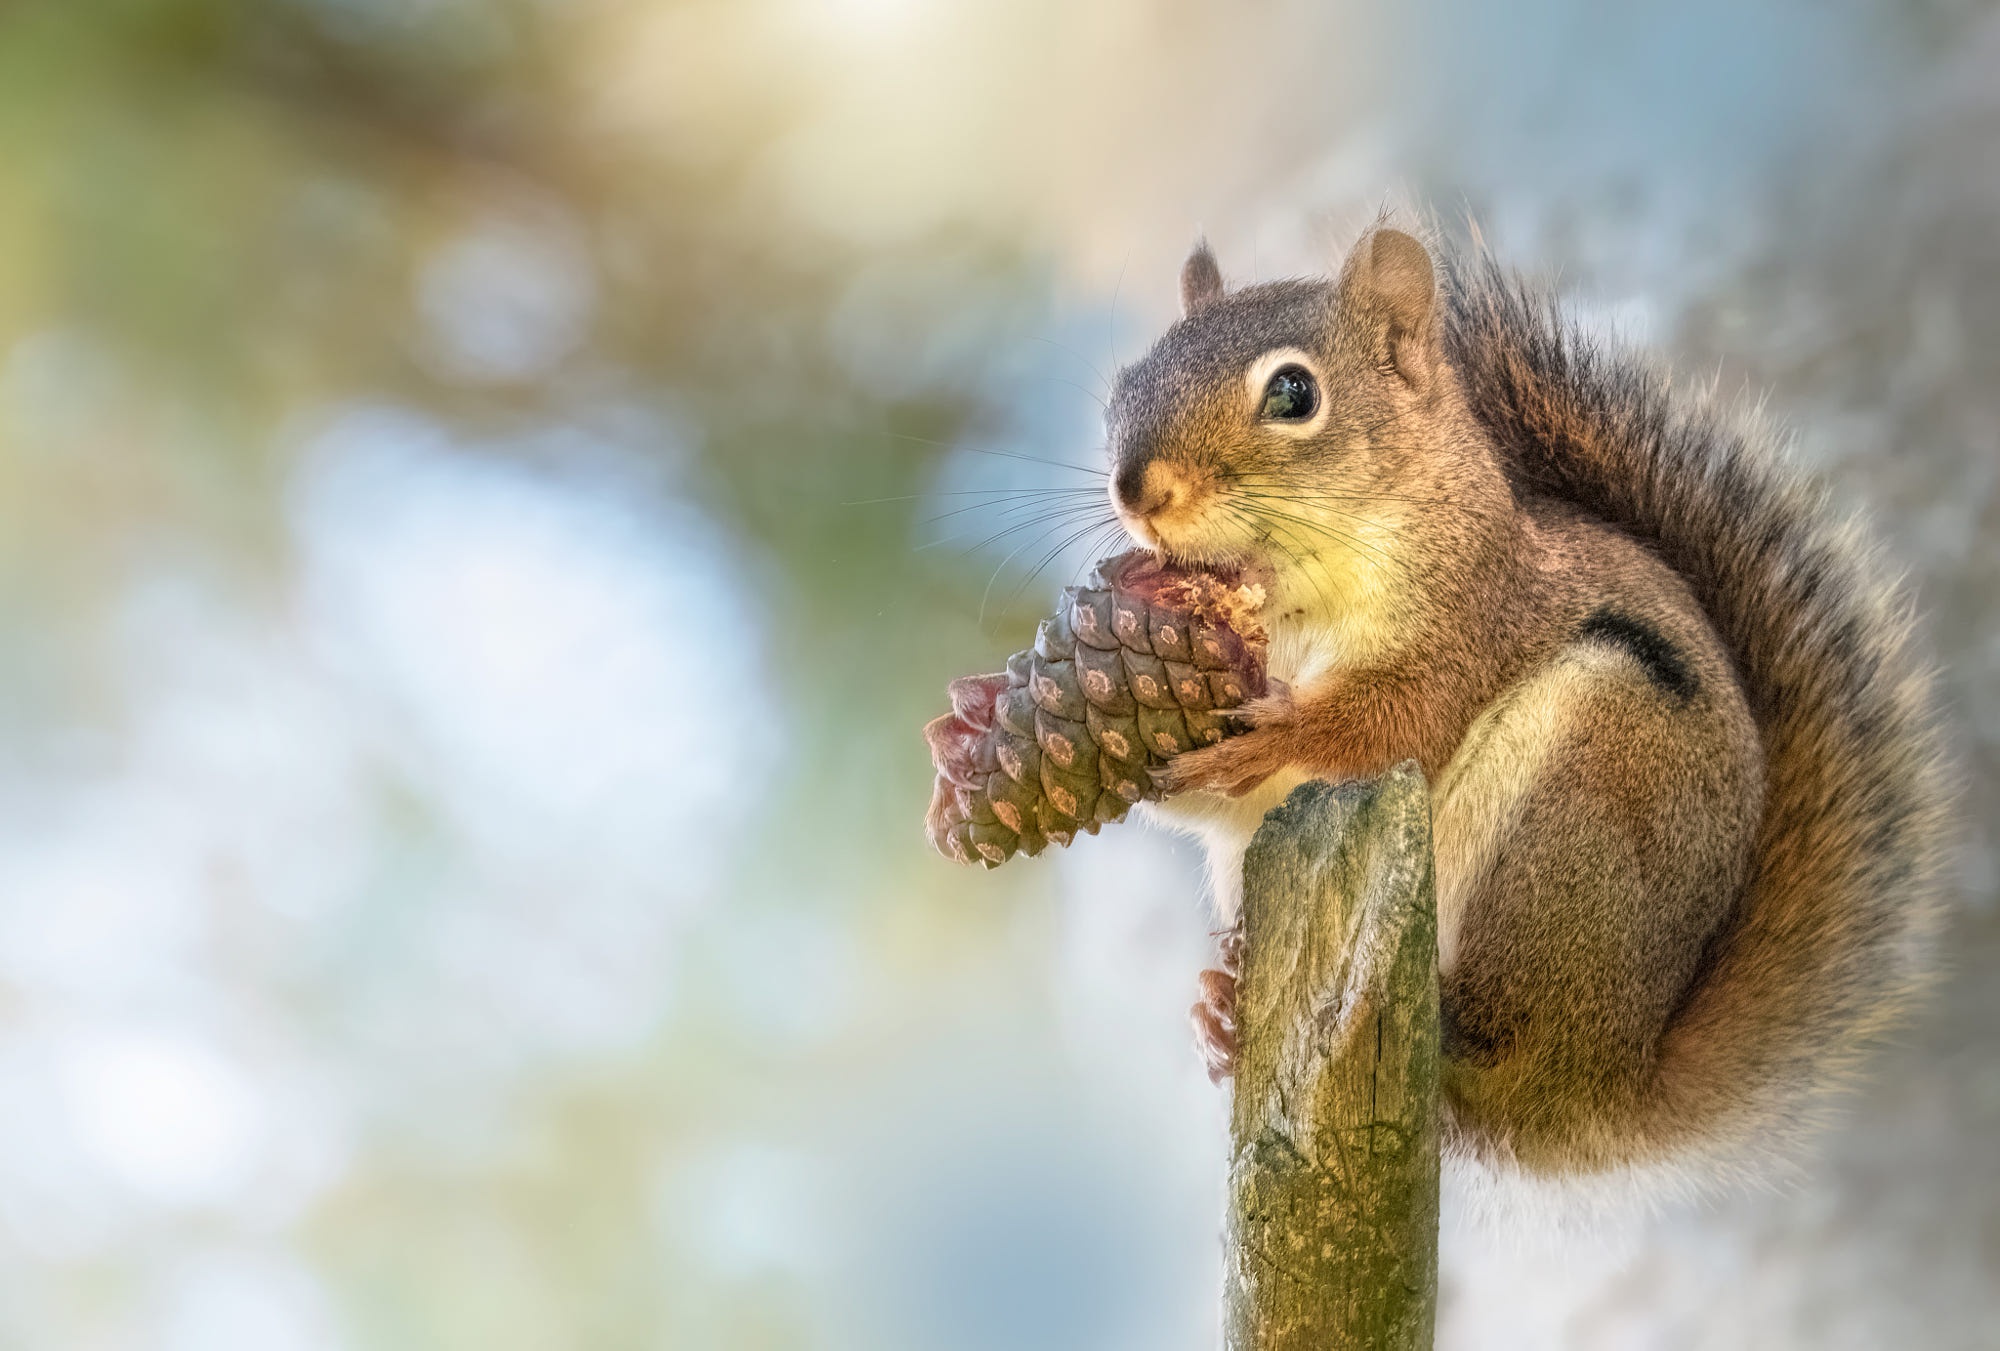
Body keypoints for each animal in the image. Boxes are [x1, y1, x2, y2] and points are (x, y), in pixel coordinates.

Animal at [1105, 225, 1953, 1187]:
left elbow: (1397, 722)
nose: (1136, 491)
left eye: (1294, 392)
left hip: (1588, 804)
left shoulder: (1471, 624)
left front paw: (1279, 734)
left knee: (1502, 1036)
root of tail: (1601, 1085)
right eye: (1127, 380)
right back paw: (1220, 1004)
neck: (1286, 595)